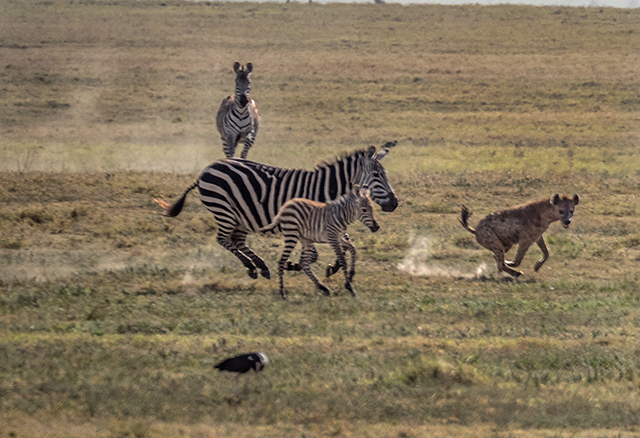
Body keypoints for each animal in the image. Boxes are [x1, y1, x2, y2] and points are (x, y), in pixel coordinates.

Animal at [158, 143, 398, 280]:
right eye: (376, 175)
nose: (394, 204)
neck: (325, 190)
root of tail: (206, 169)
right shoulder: (308, 222)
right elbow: (316, 253)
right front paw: (295, 265)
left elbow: (344, 244)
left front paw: (331, 267)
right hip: (224, 210)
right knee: (223, 240)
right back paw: (252, 267)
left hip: (241, 216)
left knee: (237, 241)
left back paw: (260, 266)